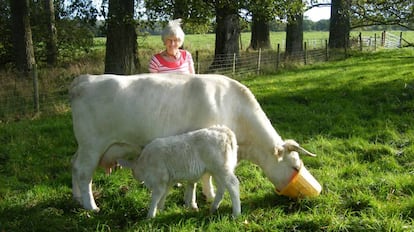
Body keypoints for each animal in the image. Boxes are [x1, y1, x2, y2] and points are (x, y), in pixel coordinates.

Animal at [69, 73, 316, 211]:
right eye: (295, 166)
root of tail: (86, 79)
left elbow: (196, 179)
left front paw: (196, 200)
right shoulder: (204, 142)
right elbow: (205, 176)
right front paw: (207, 197)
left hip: (84, 147)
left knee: (73, 164)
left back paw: (77, 198)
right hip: (92, 145)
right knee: (84, 173)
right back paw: (91, 206)